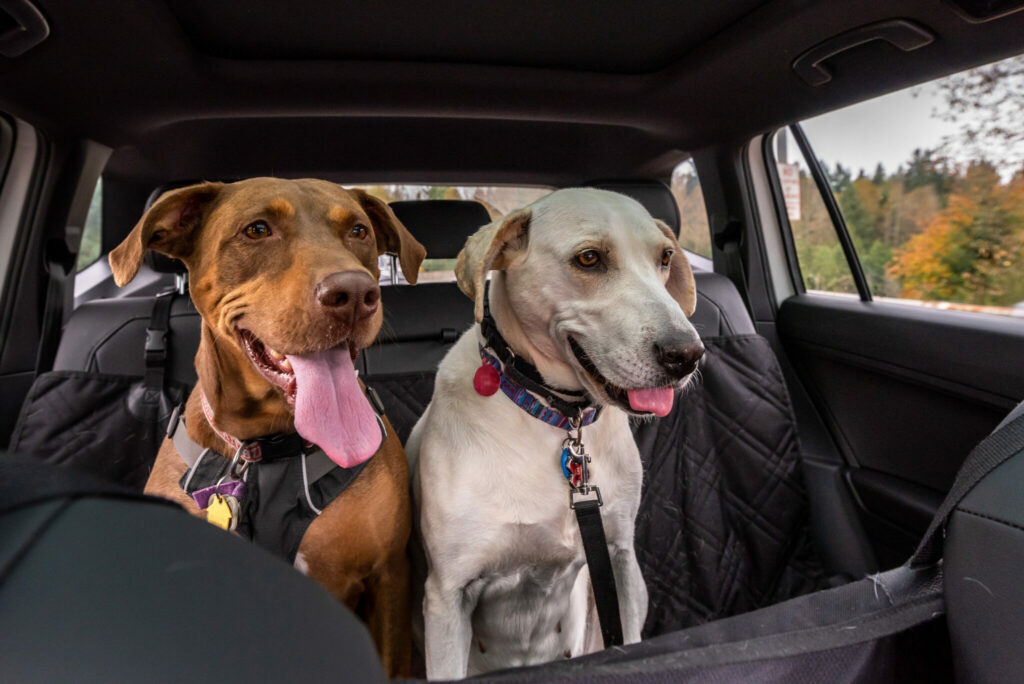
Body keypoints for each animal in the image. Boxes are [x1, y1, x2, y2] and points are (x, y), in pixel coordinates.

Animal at [407, 188, 704, 679]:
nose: (688, 354)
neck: (554, 416)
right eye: (589, 258)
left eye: (664, 257)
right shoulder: (446, 595)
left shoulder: (617, 559)